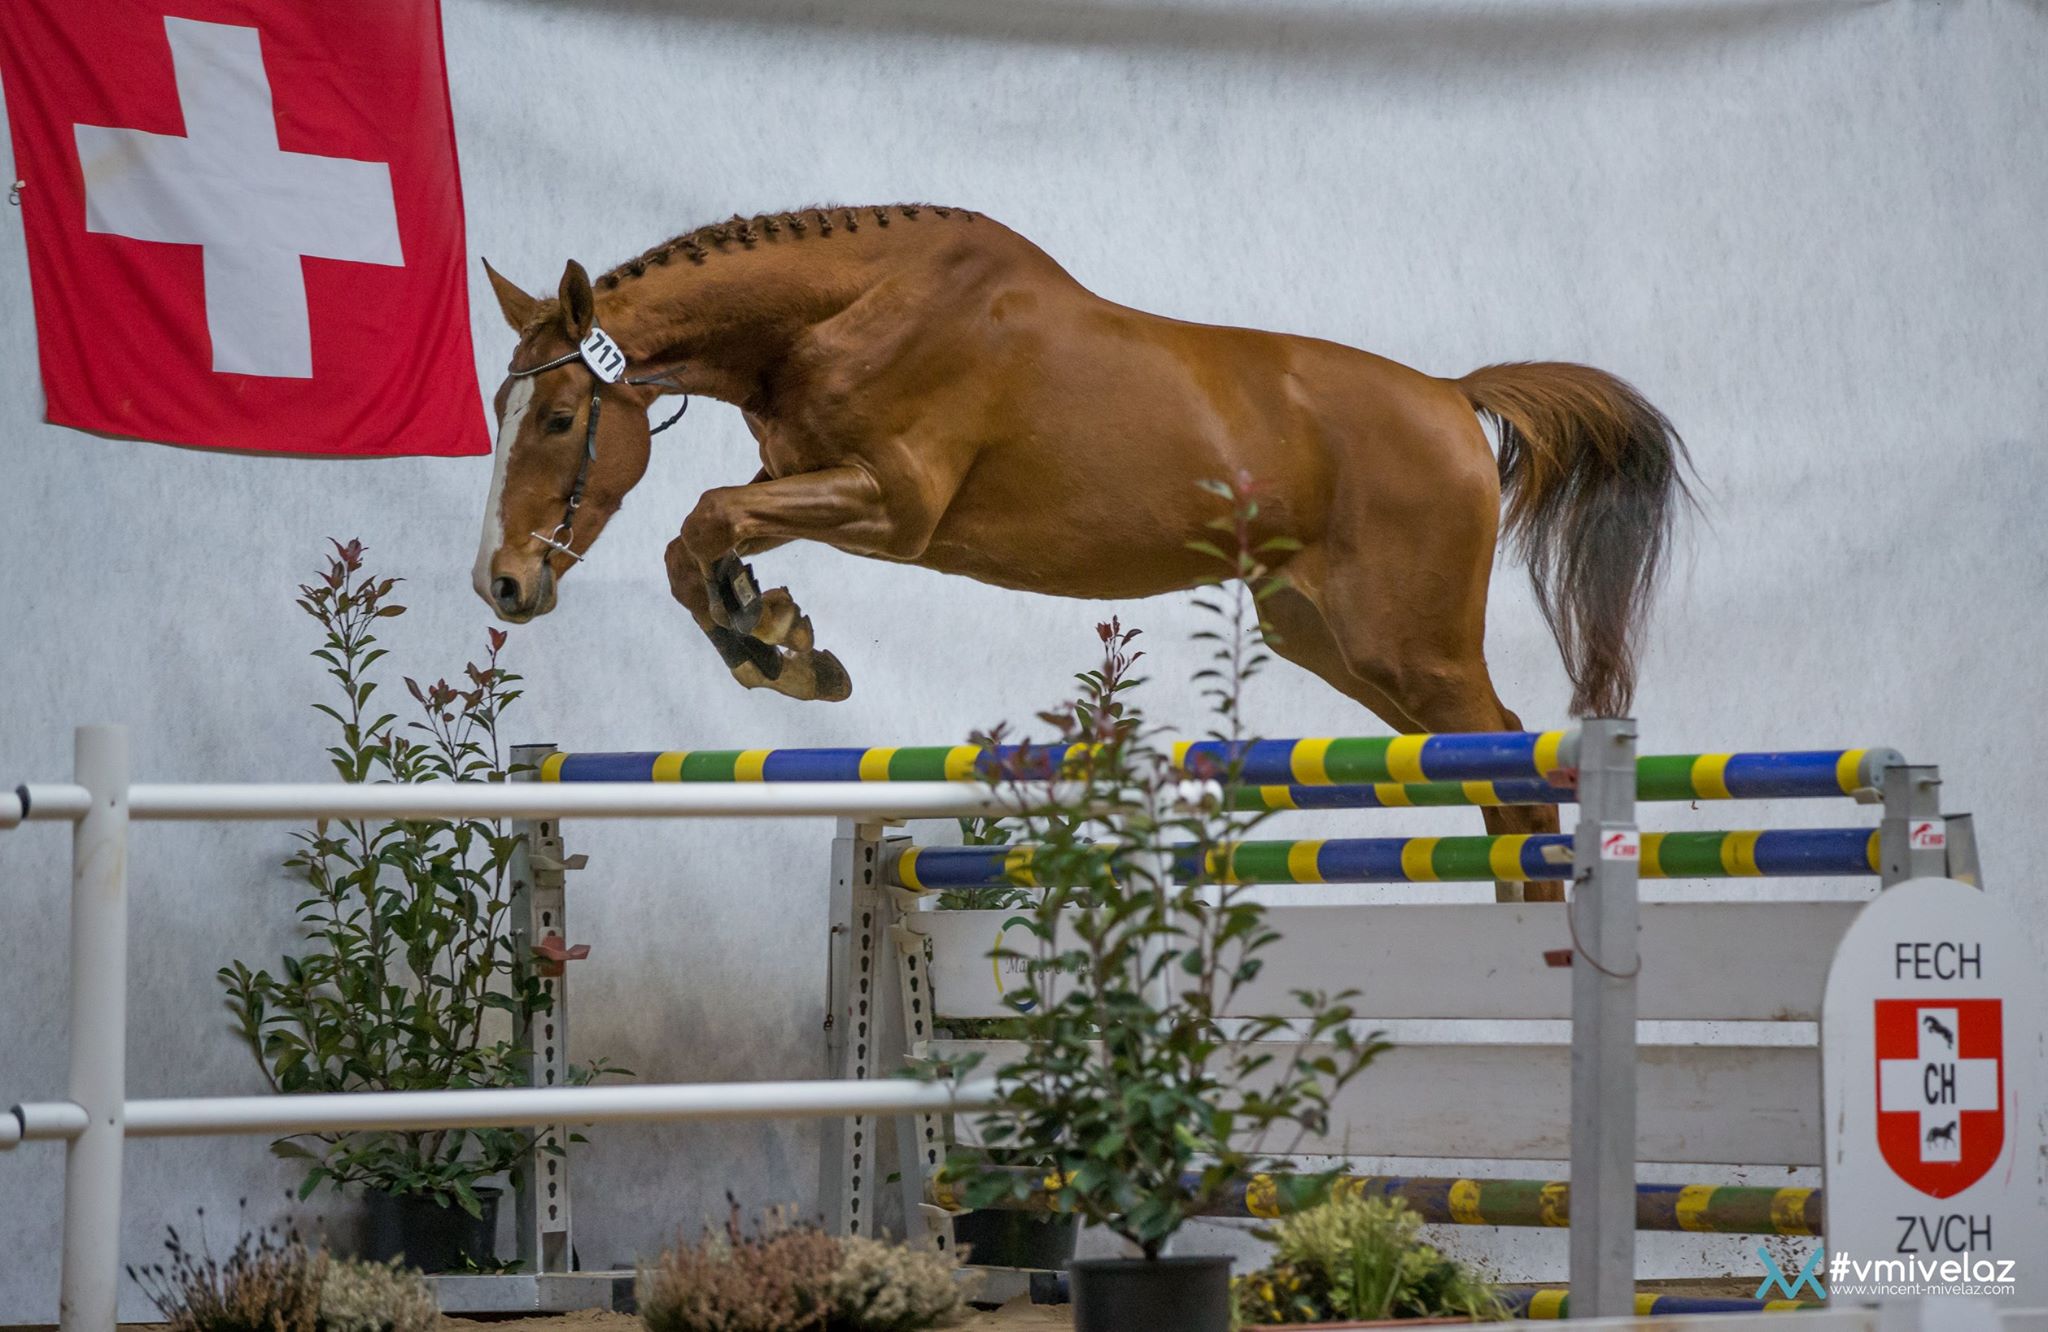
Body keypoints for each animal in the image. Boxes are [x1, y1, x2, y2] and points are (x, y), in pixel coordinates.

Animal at [479, 206, 1695, 897]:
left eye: (557, 420)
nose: (503, 584)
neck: (846, 309)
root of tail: (1450, 396)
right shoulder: (810, 484)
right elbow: (706, 538)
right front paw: (776, 637)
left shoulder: (894, 506)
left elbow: (705, 519)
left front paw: (773, 647)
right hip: (1333, 641)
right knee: (1488, 774)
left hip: (1414, 647)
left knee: (1514, 773)